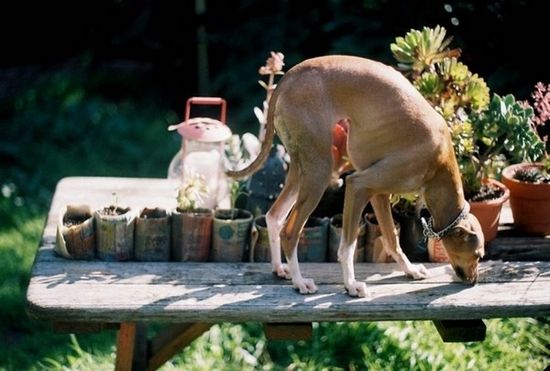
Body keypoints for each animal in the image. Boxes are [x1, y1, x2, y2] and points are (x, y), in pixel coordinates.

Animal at [226, 55, 486, 298]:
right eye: (478, 255)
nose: (473, 281)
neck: (440, 162)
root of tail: (290, 76)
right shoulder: (358, 185)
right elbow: (347, 246)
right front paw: (351, 285)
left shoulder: (378, 194)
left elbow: (391, 237)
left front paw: (410, 270)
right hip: (320, 172)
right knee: (290, 232)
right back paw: (301, 283)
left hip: (302, 171)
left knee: (274, 216)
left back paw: (280, 269)